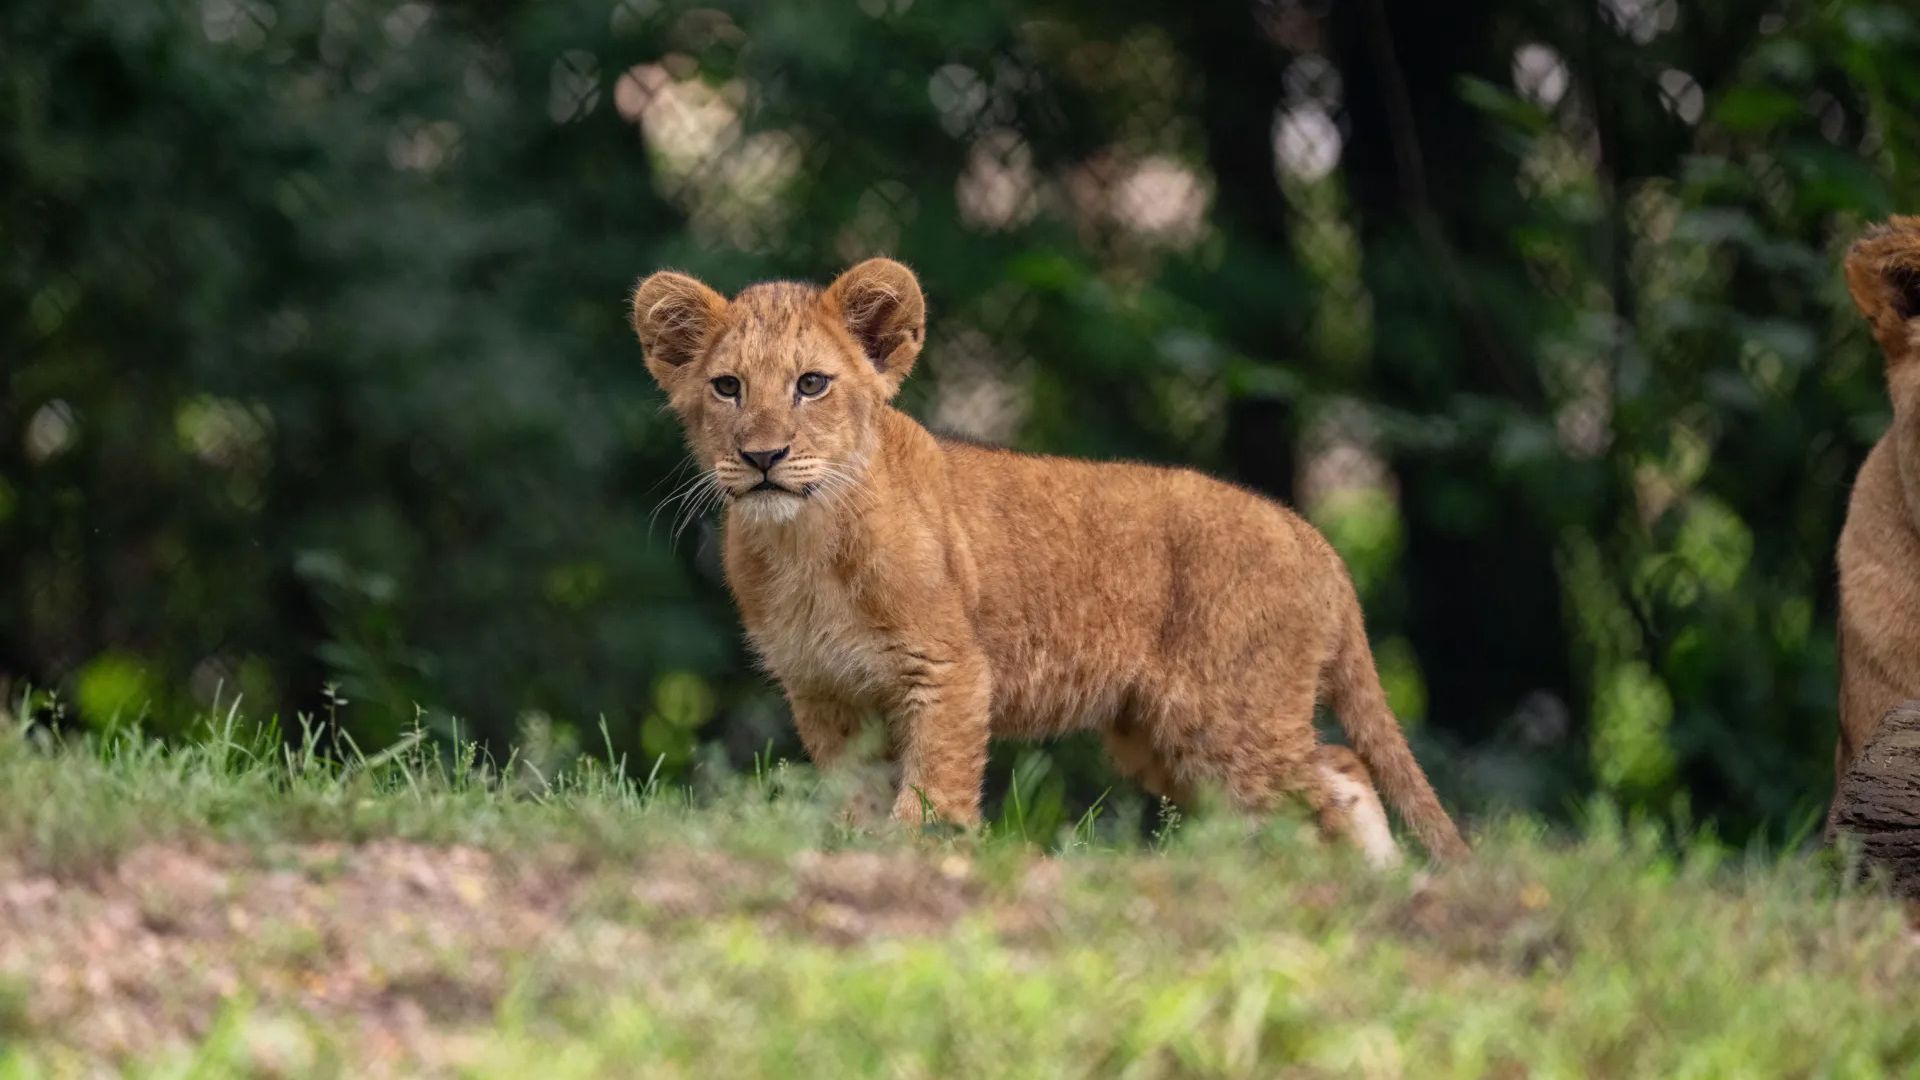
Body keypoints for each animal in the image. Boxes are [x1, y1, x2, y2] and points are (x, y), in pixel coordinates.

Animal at [630, 258, 1469, 862]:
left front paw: (925, 855)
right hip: (1161, 736)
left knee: (1332, 782)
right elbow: (857, 794)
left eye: (811, 384)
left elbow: (934, 785)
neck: (804, 539)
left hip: (1228, 716)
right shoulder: (826, 693)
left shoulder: (950, 669)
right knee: (1337, 772)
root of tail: (1313, 538)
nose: (762, 457)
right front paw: (861, 850)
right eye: (727, 387)